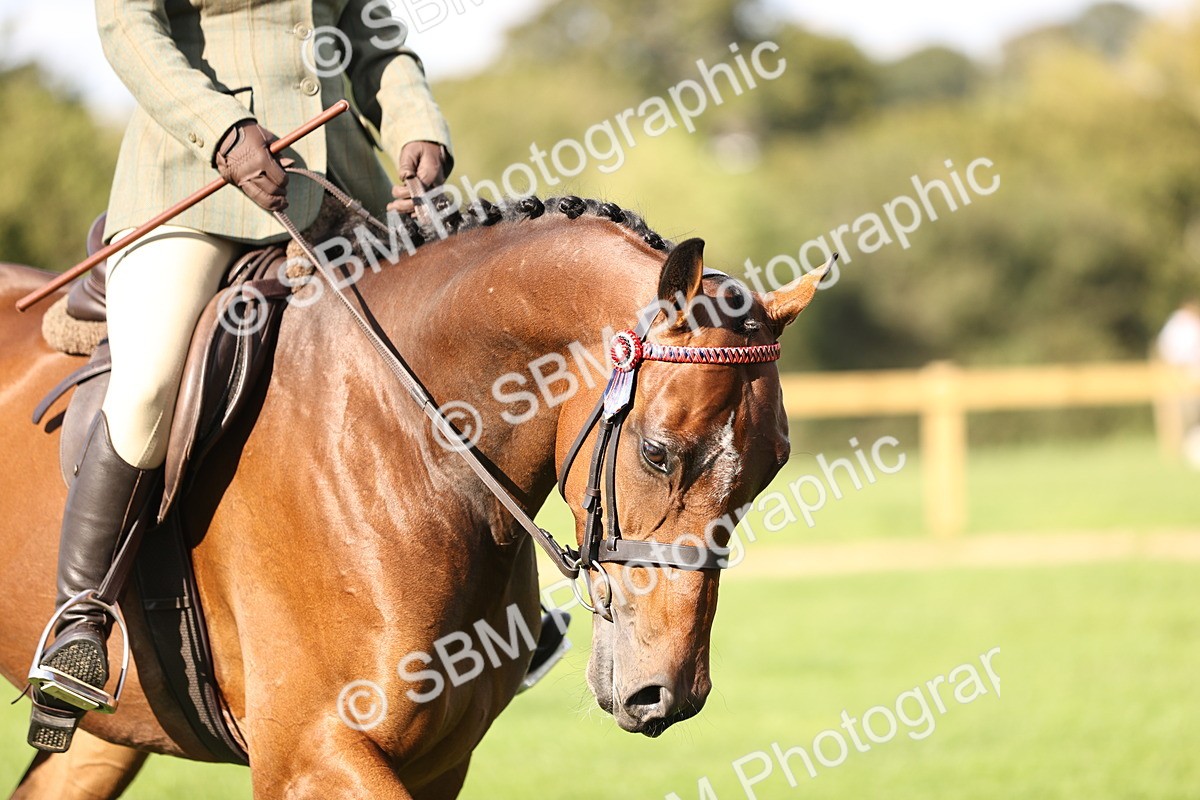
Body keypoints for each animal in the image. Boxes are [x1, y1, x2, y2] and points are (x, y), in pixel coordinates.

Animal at [0, 196, 825, 799]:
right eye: (657, 452)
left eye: (772, 469)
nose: (667, 695)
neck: (408, 443)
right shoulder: (310, 753)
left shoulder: (437, 761)